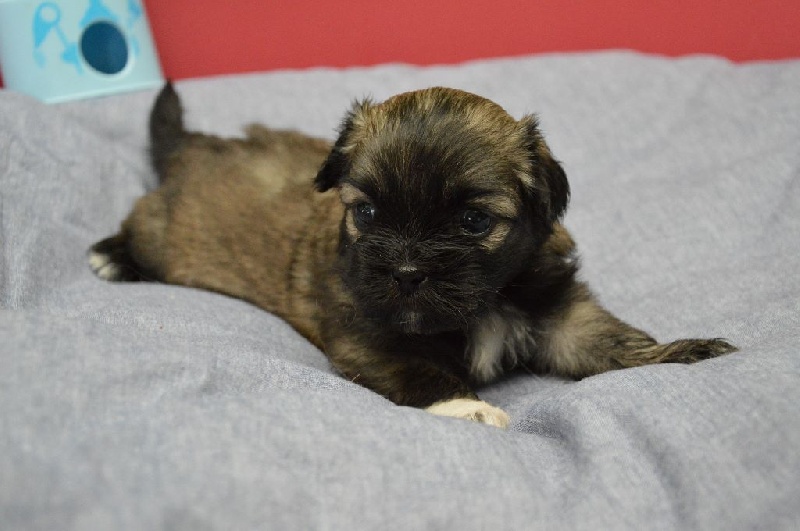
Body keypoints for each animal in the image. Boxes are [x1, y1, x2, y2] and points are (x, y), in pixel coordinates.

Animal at [89, 84, 736, 428]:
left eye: (474, 221)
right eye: (369, 213)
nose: (404, 274)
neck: (485, 303)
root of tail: (194, 146)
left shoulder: (559, 315)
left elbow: (610, 341)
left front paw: (682, 352)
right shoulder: (369, 336)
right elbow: (421, 370)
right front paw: (467, 407)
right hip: (164, 235)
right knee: (137, 226)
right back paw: (112, 256)